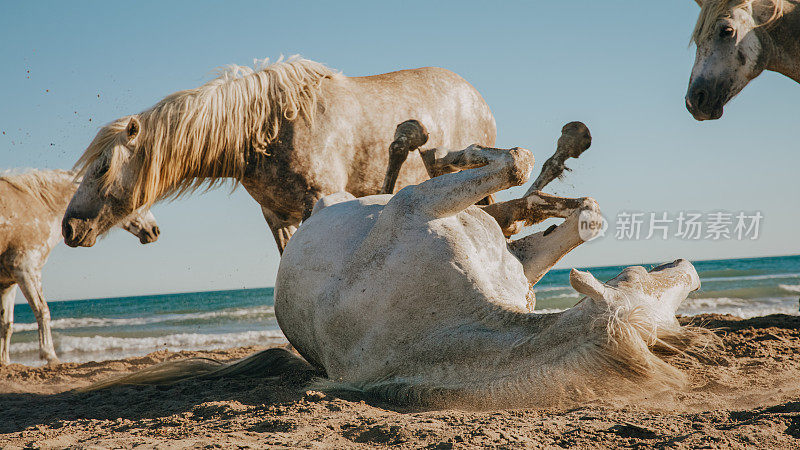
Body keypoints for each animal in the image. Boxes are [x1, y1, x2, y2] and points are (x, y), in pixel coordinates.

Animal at [0, 170, 159, 366]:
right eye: (137, 201)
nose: (154, 230)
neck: (34, 206)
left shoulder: (8, 283)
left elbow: (6, 324)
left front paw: (4, 361)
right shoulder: (26, 270)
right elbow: (42, 311)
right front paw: (50, 355)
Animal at [61, 56, 494, 253]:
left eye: (102, 168)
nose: (69, 228)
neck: (268, 128)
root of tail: (474, 94)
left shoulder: (324, 201)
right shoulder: (277, 217)